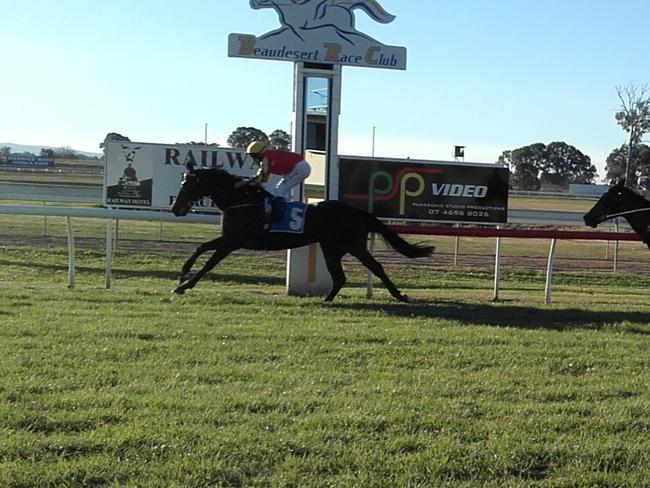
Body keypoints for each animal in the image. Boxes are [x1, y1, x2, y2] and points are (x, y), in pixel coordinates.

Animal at [170, 165, 432, 302]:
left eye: (187, 185)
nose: (175, 209)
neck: (241, 200)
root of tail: (358, 211)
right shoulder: (229, 239)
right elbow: (201, 247)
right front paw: (182, 274)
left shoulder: (233, 240)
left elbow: (209, 262)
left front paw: (184, 284)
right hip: (340, 247)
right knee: (351, 273)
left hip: (345, 246)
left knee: (360, 271)